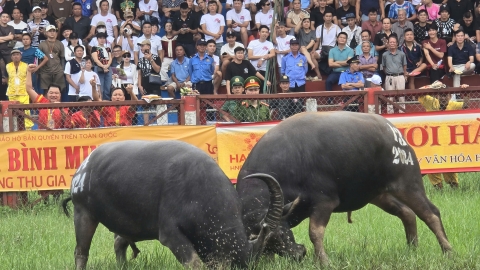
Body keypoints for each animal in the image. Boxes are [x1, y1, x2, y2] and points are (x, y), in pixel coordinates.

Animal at [61, 140, 284, 268]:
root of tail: (84, 165)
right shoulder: (171, 235)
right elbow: (194, 263)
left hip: (128, 224)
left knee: (119, 243)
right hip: (83, 213)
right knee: (81, 252)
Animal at [238, 111, 452, 264]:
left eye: (282, 233)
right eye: (270, 241)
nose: (299, 254)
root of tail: (393, 131)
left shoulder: (324, 202)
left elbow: (315, 232)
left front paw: (323, 261)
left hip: (408, 184)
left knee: (431, 213)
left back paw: (448, 251)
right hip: (379, 195)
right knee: (407, 213)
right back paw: (412, 249)